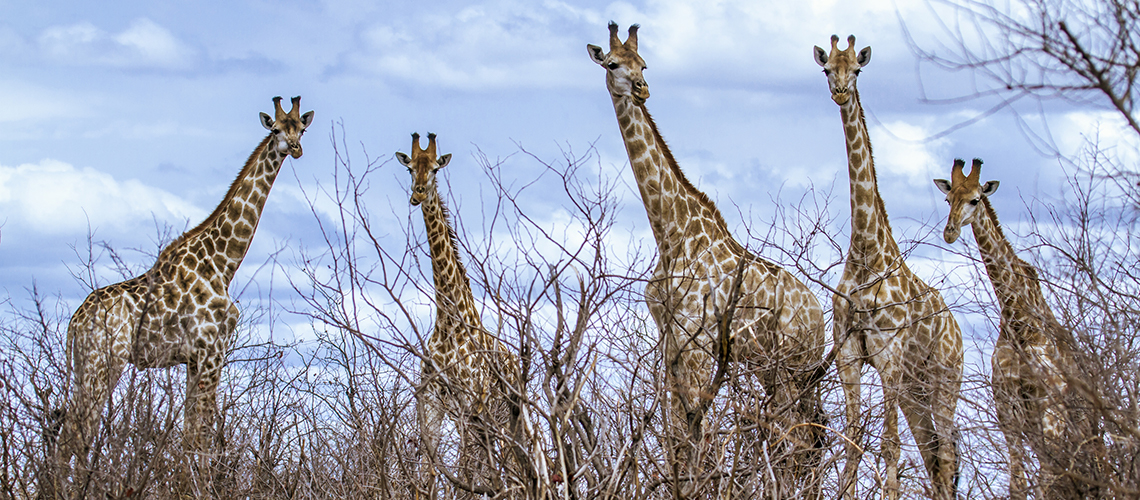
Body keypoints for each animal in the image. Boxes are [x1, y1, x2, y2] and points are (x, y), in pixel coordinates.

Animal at [60, 99, 314, 469]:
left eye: (302, 129)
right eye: (276, 129)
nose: (294, 148)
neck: (223, 264)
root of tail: (74, 323)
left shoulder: (194, 360)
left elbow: (190, 434)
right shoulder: (211, 353)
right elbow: (201, 436)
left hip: (83, 367)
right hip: (103, 362)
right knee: (77, 434)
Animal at [392, 132, 517, 496]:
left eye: (435, 169)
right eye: (409, 168)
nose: (418, 194)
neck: (448, 319)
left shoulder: (470, 405)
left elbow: (464, 478)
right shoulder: (431, 403)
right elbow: (429, 476)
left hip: (505, 422)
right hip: (490, 425)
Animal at [592, 22, 825, 489]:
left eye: (644, 64)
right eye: (611, 64)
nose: (642, 89)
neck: (670, 234)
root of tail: (820, 317)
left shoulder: (698, 344)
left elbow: (697, 435)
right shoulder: (670, 343)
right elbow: (675, 434)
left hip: (791, 366)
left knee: (799, 441)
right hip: (780, 370)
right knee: (807, 440)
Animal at [816, 36, 966, 500]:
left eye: (858, 70)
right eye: (827, 68)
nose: (840, 91)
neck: (866, 250)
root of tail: (957, 330)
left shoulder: (889, 355)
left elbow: (889, 445)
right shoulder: (848, 352)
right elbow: (853, 440)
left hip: (943, 380)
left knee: (946, 452)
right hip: (915, 390)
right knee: (934, 452)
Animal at [934, 159, 1103, 500]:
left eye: (975, 199)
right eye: (948, 199)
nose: (950, 232)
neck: (1019, 321)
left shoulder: (1049, 409)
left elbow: (1044, 482)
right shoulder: (1007, 409)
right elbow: (1019, 484)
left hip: (1077, 430)